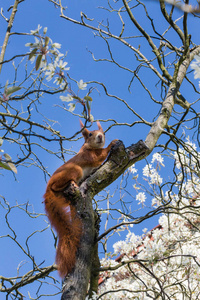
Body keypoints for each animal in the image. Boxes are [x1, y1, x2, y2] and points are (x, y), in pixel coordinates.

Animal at [43, 120, 116, 278]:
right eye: (90, 134)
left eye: (102, 132)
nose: (100, 136)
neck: (90, 147)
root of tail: (47, 191)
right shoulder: (88, 156)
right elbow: (100, 156)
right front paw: (112, 144)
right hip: (74, 170)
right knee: (59, 184)